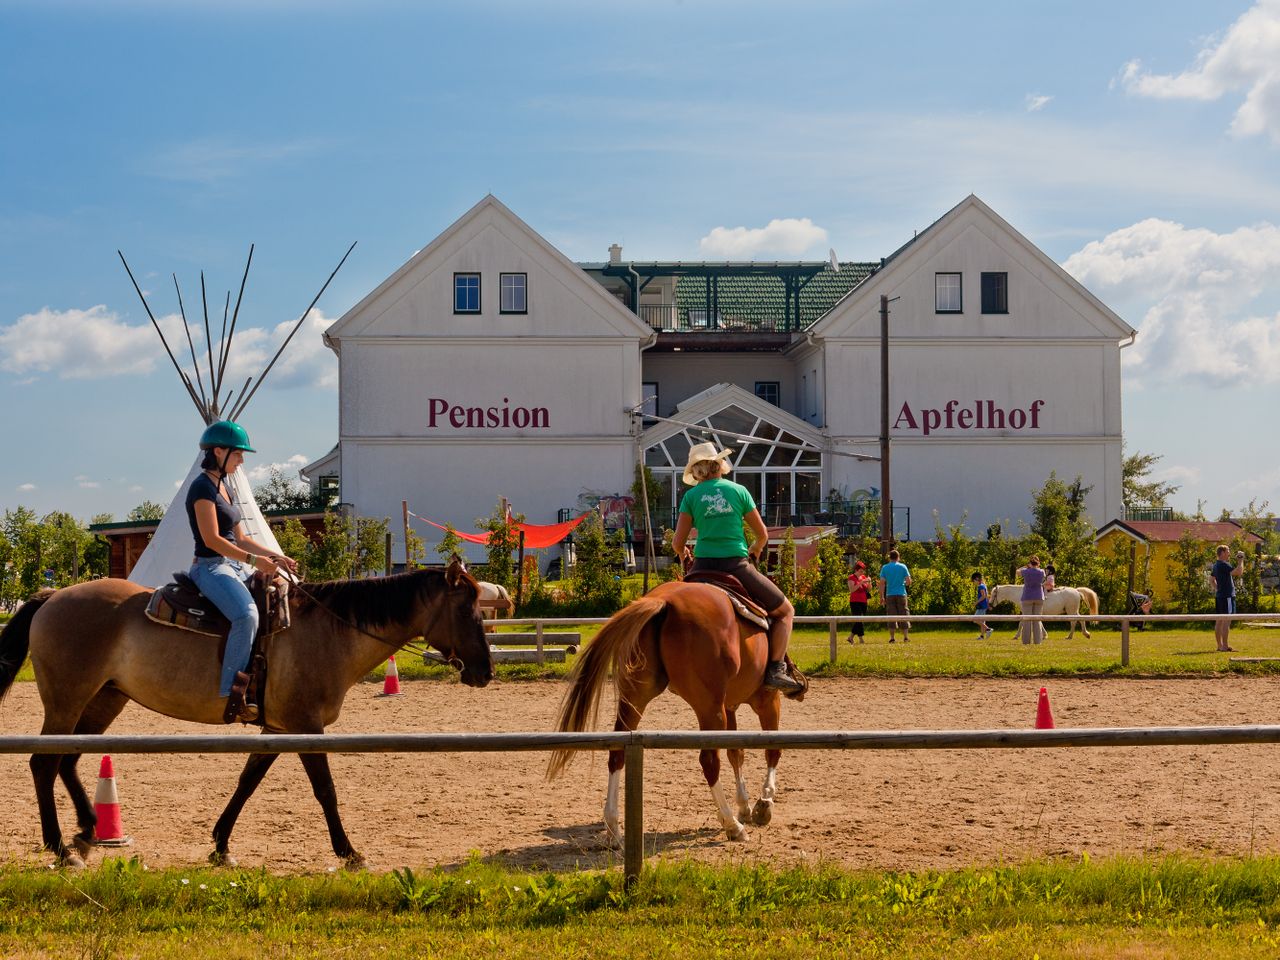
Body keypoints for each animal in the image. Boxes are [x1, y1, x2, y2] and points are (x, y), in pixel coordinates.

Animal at [0, 563, 494, 870]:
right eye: (465, 608)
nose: (486, 672)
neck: (329, 631)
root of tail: (52, 597)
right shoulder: (306, 727)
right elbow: (326, 791)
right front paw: (349, 852)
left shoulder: (277, 727)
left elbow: (247, 782)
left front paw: (221, 844)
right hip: (67, 700)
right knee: (43, 764)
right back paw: (60, 847)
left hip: (105, 699)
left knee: (68, 761)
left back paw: (87, 829)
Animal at [547, 578, 803, 839]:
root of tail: (663, 601)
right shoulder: (767, 701)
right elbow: (772, 749)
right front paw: (764, 803)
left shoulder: (729, 707)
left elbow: (736, 753)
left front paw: (745, 805)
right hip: (710, 709)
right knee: (709, 761)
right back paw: (732, 825)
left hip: (636, 699)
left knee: (617, 751)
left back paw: (613, 828)